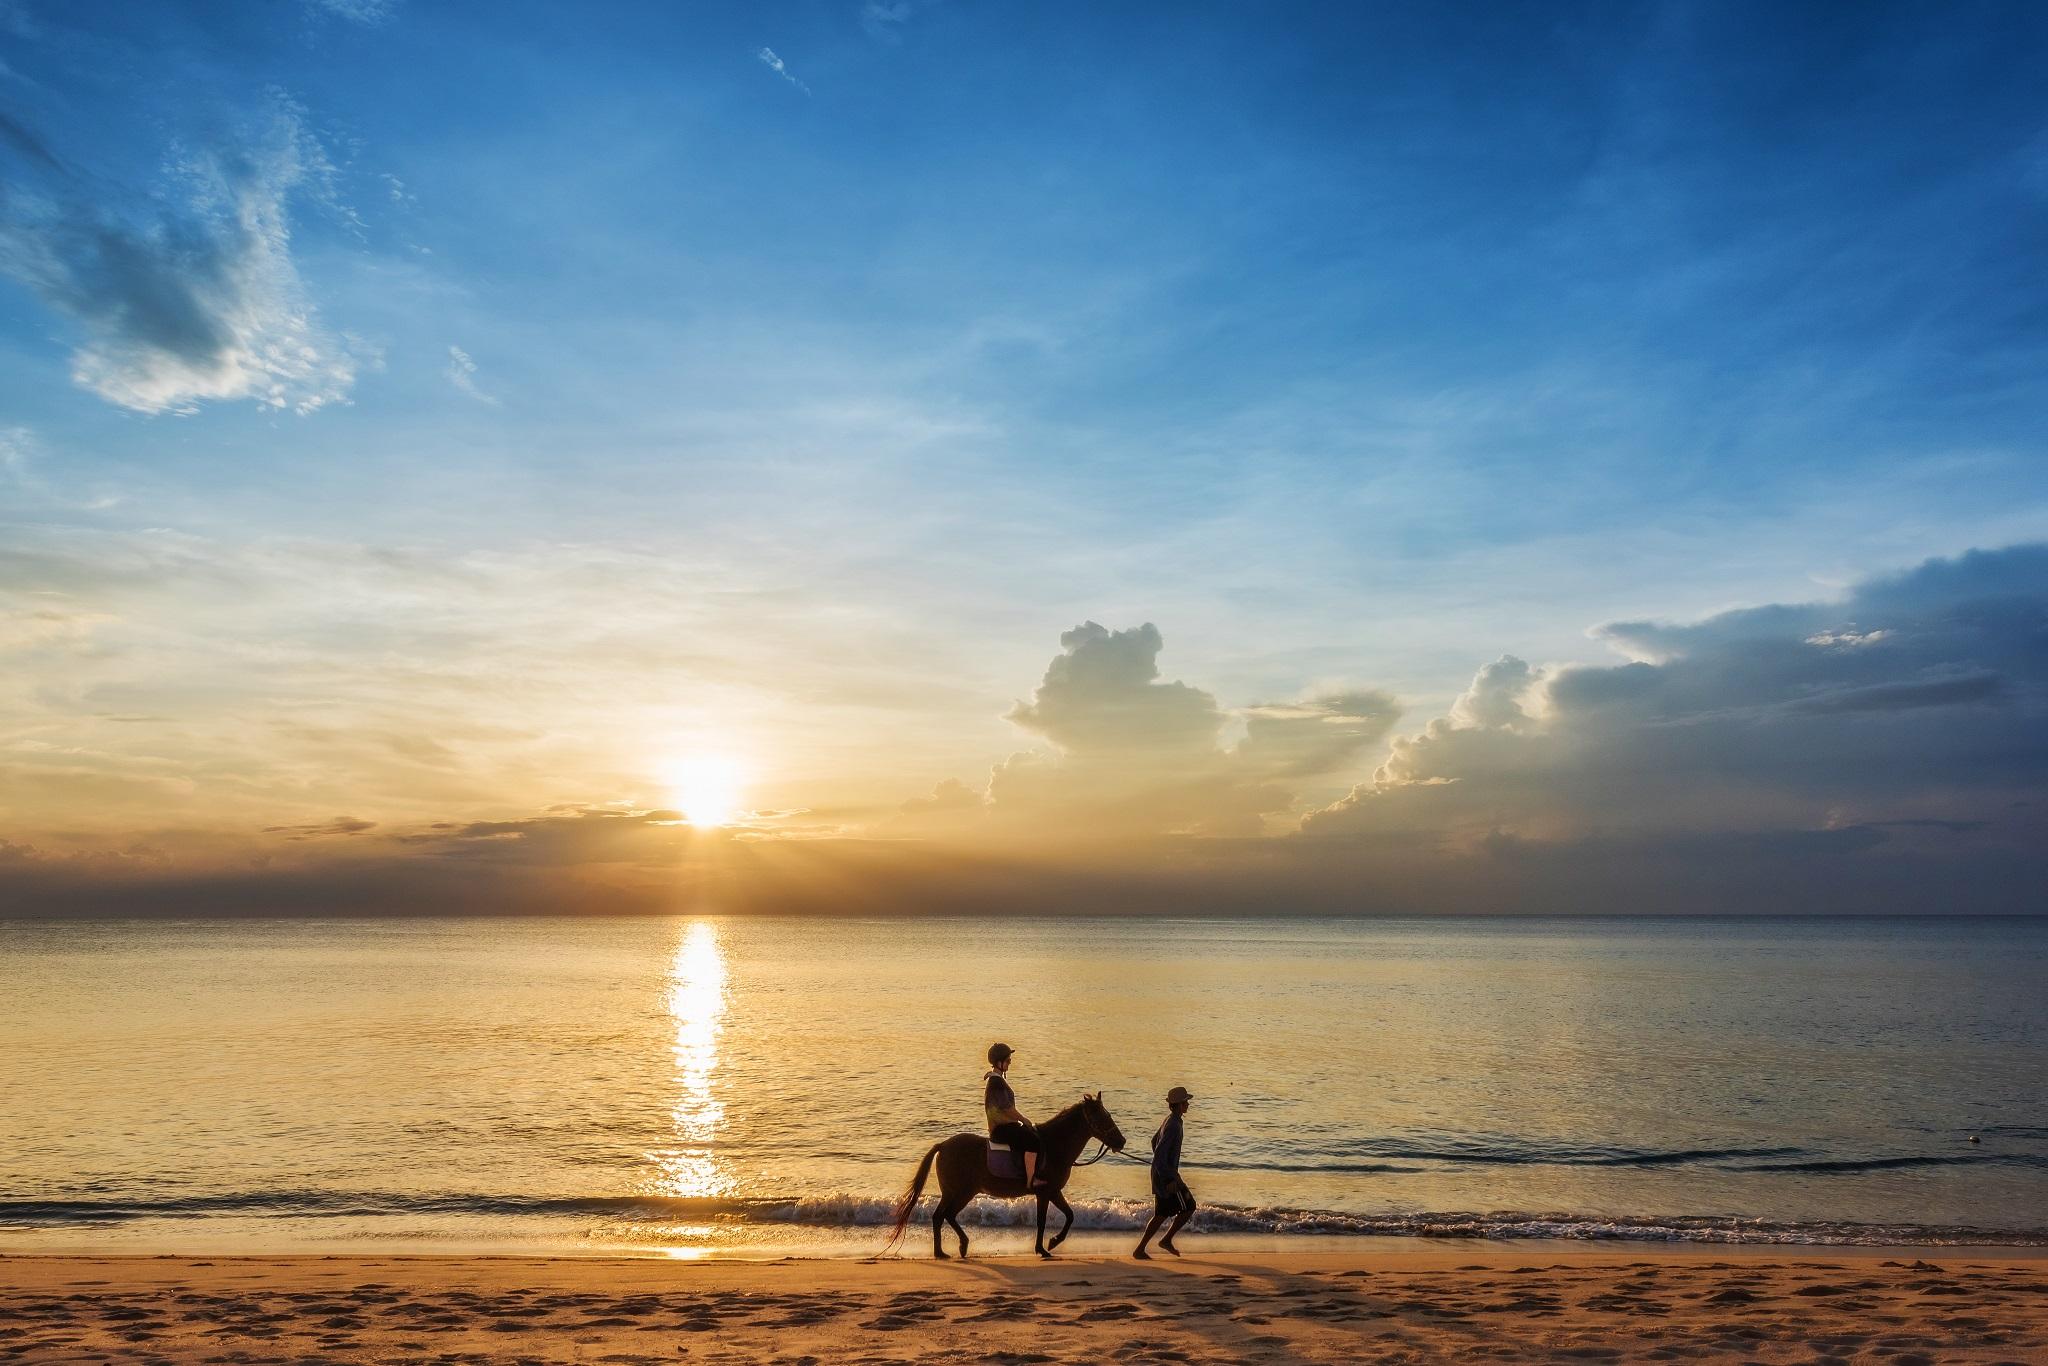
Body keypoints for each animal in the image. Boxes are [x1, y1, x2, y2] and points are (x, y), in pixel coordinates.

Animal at [884, 1097, 1130, 1261]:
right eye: (1103, 1117)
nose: (1122, 1141)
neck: (1054, 1146)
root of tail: (943, 1146)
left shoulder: (1052, 1192)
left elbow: (1069, 1216)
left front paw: (1050, 1243)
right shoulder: (1046, 1192)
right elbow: (1044, 1221)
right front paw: (1046, 1247)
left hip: (957, 1192)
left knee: (942, 1216)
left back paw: (948, 1250)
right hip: (960, 1192)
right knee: (944, 1215)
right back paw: (951, 1249)